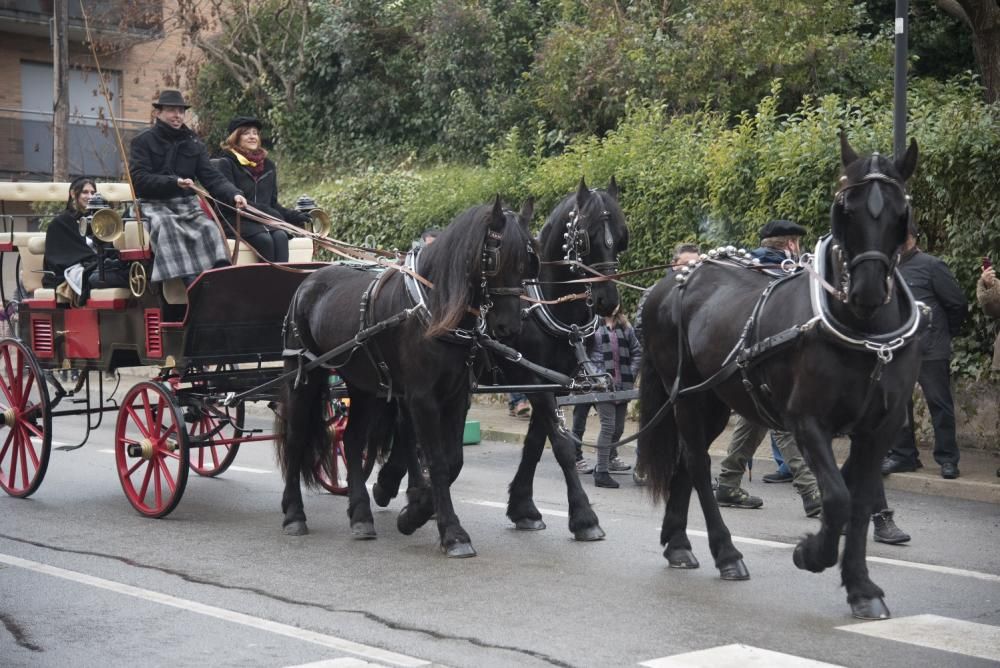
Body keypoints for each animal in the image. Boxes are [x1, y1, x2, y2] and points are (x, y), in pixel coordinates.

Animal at [274, 198, 540, 560]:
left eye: (529, 259)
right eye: (494, 257)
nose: (509, 326)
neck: (435, 310)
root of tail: (309, 280)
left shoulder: (457, 396)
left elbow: (453, 461)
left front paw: (414, 514)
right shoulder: (422, 398)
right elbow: (438, 463)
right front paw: (452, 533)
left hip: (364, 386)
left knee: (351, 440)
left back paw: (361, 515)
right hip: (305, 378)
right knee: (296, 438)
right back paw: (293, 514)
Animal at [636, 136, 924, 620]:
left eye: (901, 210)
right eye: (845, 207)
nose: (866, 290)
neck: (863, 334)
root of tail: (676, 276)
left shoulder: (879, 429)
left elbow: (860, 499)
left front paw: (861, 587)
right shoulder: (806, 422)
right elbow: (838, 498)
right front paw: (811, 553)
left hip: (715, 399)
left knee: (687, 461)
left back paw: (678, 543)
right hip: (687, 398)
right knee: (697, 462)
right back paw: (726, 553)